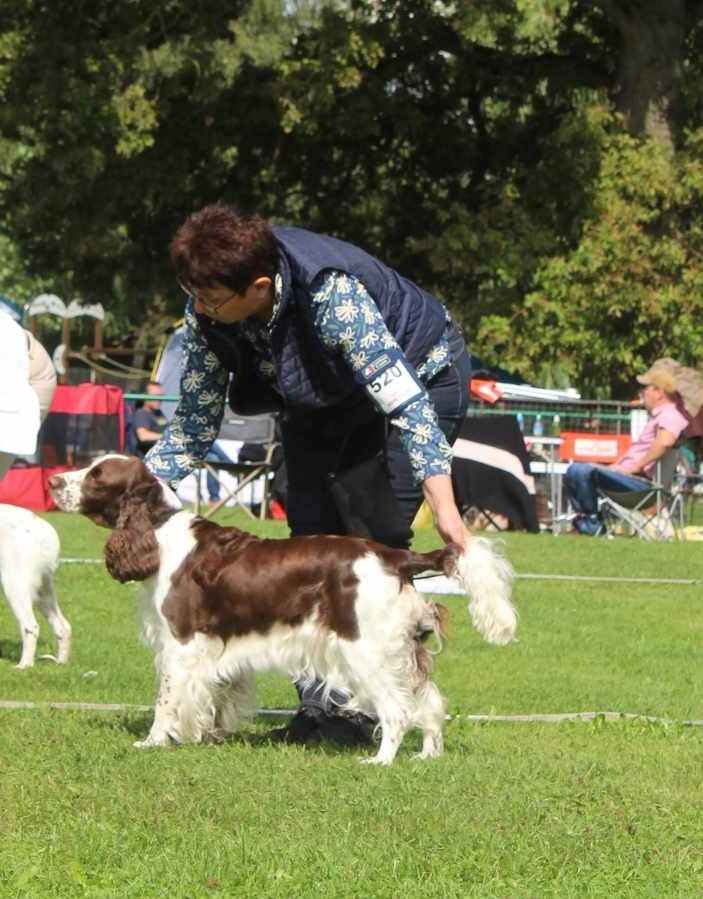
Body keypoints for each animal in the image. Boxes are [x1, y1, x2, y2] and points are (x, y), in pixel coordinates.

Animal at [0, 506, 71, 668]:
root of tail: (44, 530)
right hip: (43, 592)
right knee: (63, 627)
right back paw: (61, 663)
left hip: (14, 586)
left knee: (31, 627)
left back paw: (24, 665)